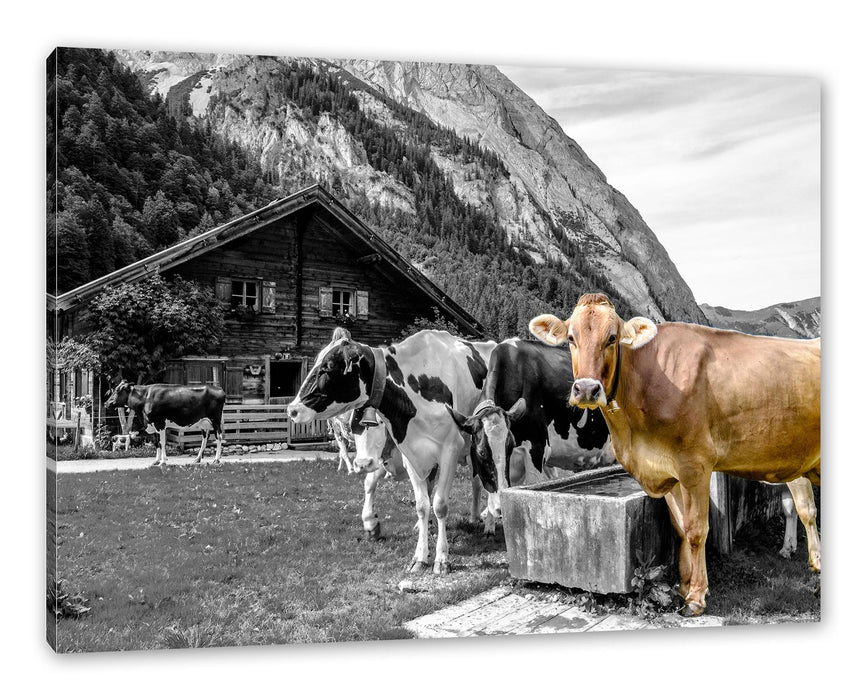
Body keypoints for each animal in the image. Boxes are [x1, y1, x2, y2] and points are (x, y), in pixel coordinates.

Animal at [288, 330, 497, 573]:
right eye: (356, 425)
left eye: (328, 366)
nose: (292, 409)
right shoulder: (410, 454)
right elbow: (421, 504)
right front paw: (419, 555)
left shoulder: (449, 451)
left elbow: (440, 504)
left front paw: (442, 559)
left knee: (486, 482)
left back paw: (489, 522)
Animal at [529, 292, 820, 616]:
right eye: (571, 338)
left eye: (612, 338)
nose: (587, 389)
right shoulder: (667, 470)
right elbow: (680, 528)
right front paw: (684, 585)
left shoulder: (695, 465)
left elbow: (696, 530)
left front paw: (696, 596)